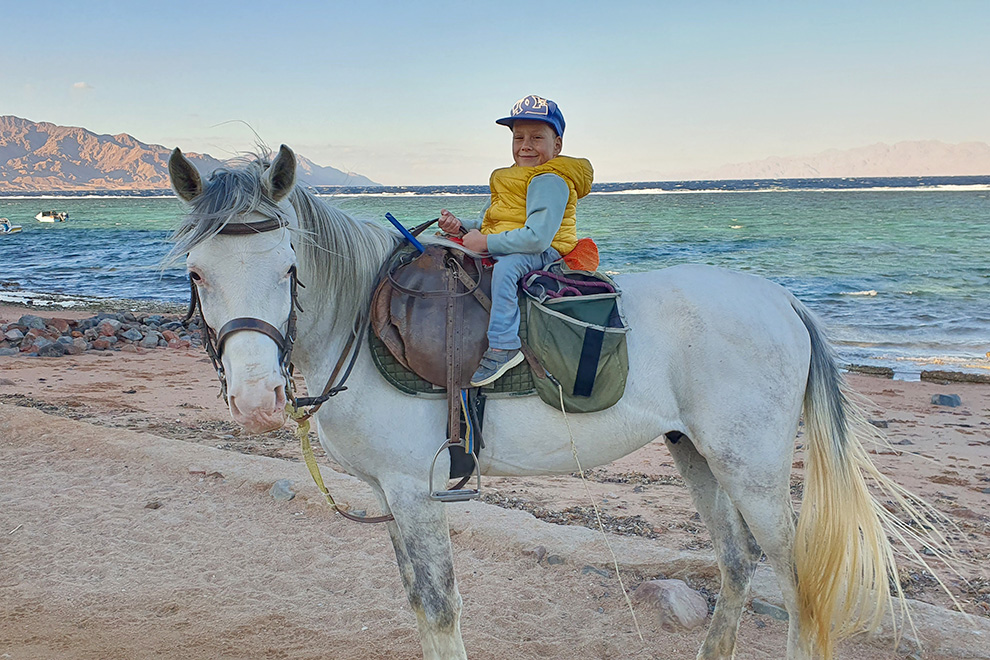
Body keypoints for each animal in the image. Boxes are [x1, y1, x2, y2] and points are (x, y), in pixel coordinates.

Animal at [169, 146, 944, 660]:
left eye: (288, 268)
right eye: (197, 273)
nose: (257, 399)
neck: (361, 321)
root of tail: (781, 299)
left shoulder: (416, 492)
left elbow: (440, 607)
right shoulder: (389, 496)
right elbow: (419, 601)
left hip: (749, 466)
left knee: (795, 577)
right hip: (698, 454)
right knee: (736, 561)